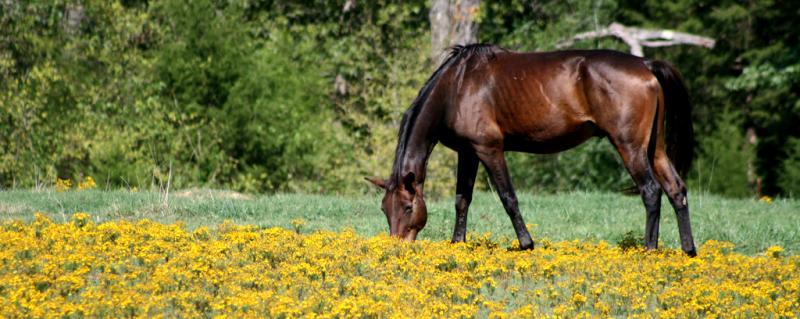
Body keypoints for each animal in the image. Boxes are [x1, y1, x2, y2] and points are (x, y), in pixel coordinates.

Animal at [366, 43, 696, 258]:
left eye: (408, 208)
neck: (457, 86)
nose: (397, 248)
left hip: (629, 146)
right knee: (675, 189)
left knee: (651, 191)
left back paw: (649, 250)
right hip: (654, 148)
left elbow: (508, 197)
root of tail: (645, 65)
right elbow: (462, 200)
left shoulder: (489, 149)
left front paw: (526, 244)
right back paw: (688, 251)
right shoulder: (467, 153)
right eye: (384, 209)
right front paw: (457, 244)